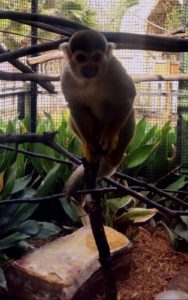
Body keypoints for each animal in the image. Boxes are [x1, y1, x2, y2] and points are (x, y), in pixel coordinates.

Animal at [60, 29, 135, 197]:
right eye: (81, 58)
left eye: (96, 58)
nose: (89, 67)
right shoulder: (66, 75)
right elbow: (76, 107)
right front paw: (89, 145)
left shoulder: (113, 66)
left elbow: (126, 98)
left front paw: (109, 136)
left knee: (129, 111)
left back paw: (115, 155)